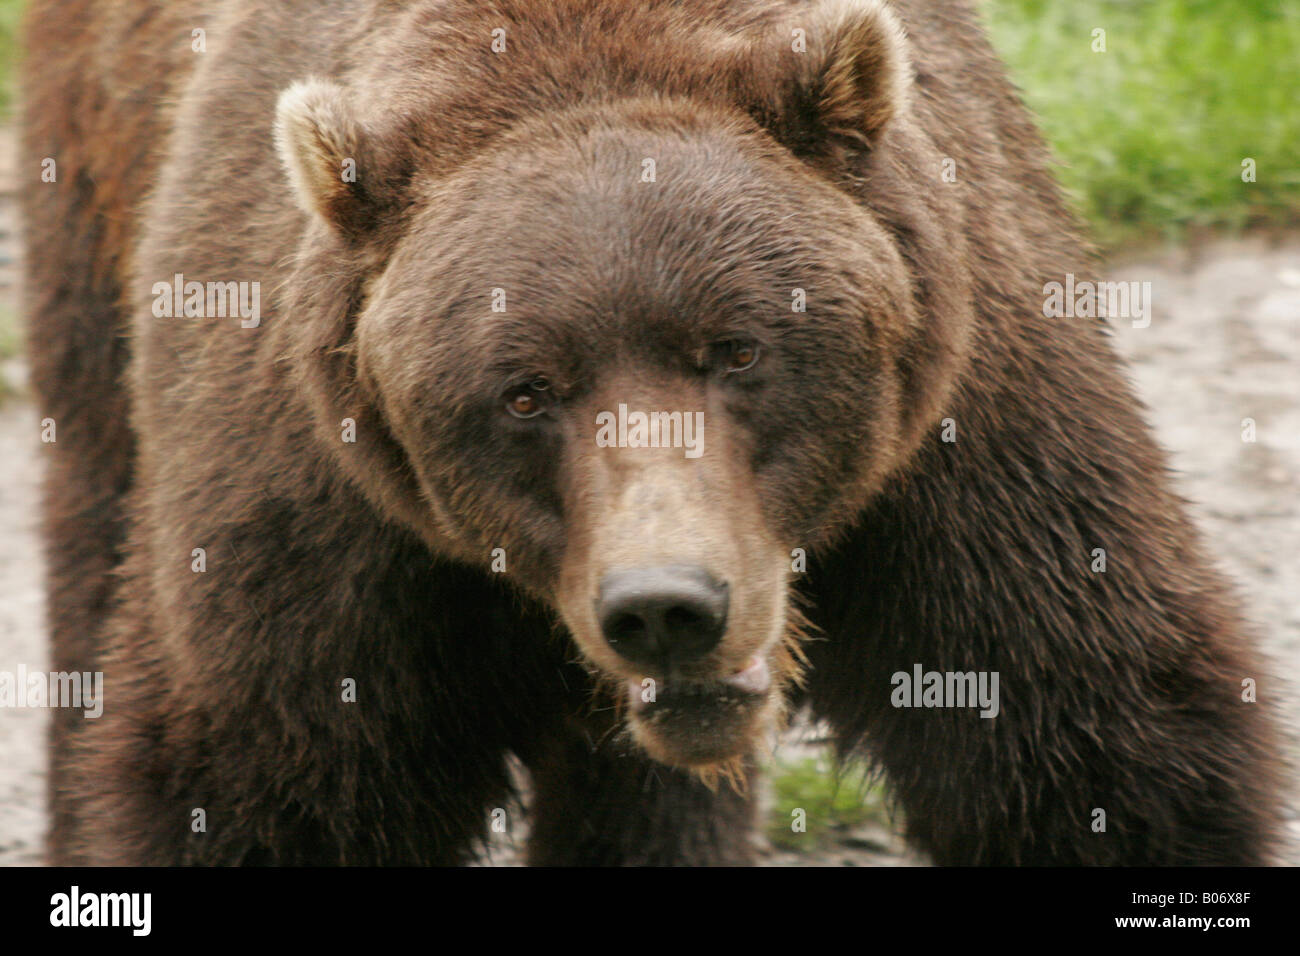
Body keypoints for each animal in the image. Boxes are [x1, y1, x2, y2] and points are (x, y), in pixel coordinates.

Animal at [25, 0, 1284, 868]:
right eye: (523, 391)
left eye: (738, 348)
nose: (666, 605)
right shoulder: (326, 503)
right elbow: (268, 774)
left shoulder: (963, 422)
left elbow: (1085, 722)